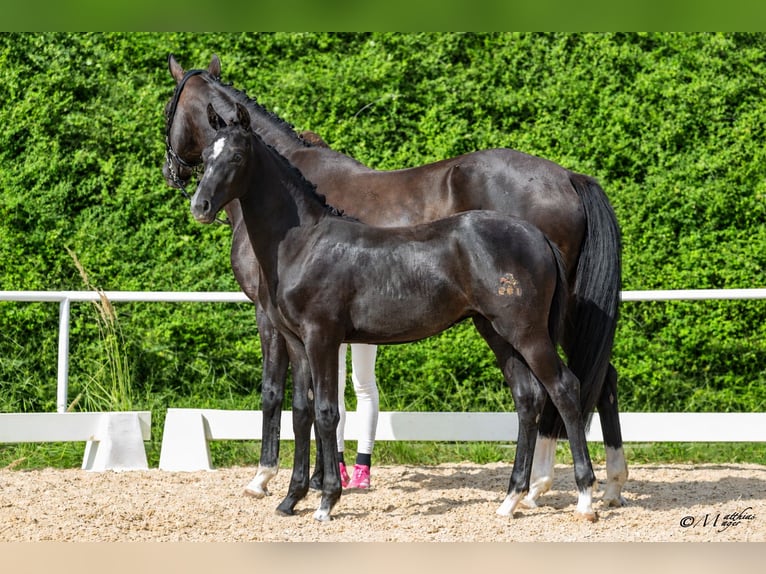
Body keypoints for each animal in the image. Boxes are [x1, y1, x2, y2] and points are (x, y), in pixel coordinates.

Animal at [163, 54, 627, 508]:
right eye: (208, 155)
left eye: (170, 106)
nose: (196, 201)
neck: (301, 235)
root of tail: (569, 179)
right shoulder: (308, 334)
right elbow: (308, 406)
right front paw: (308, 486)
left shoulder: (283, 321)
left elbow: (282, 395)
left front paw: (273, 480)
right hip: (515, 324)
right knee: (574, 384)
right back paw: (569, 489)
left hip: (531, 328)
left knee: (567, 385)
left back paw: (568, 492)